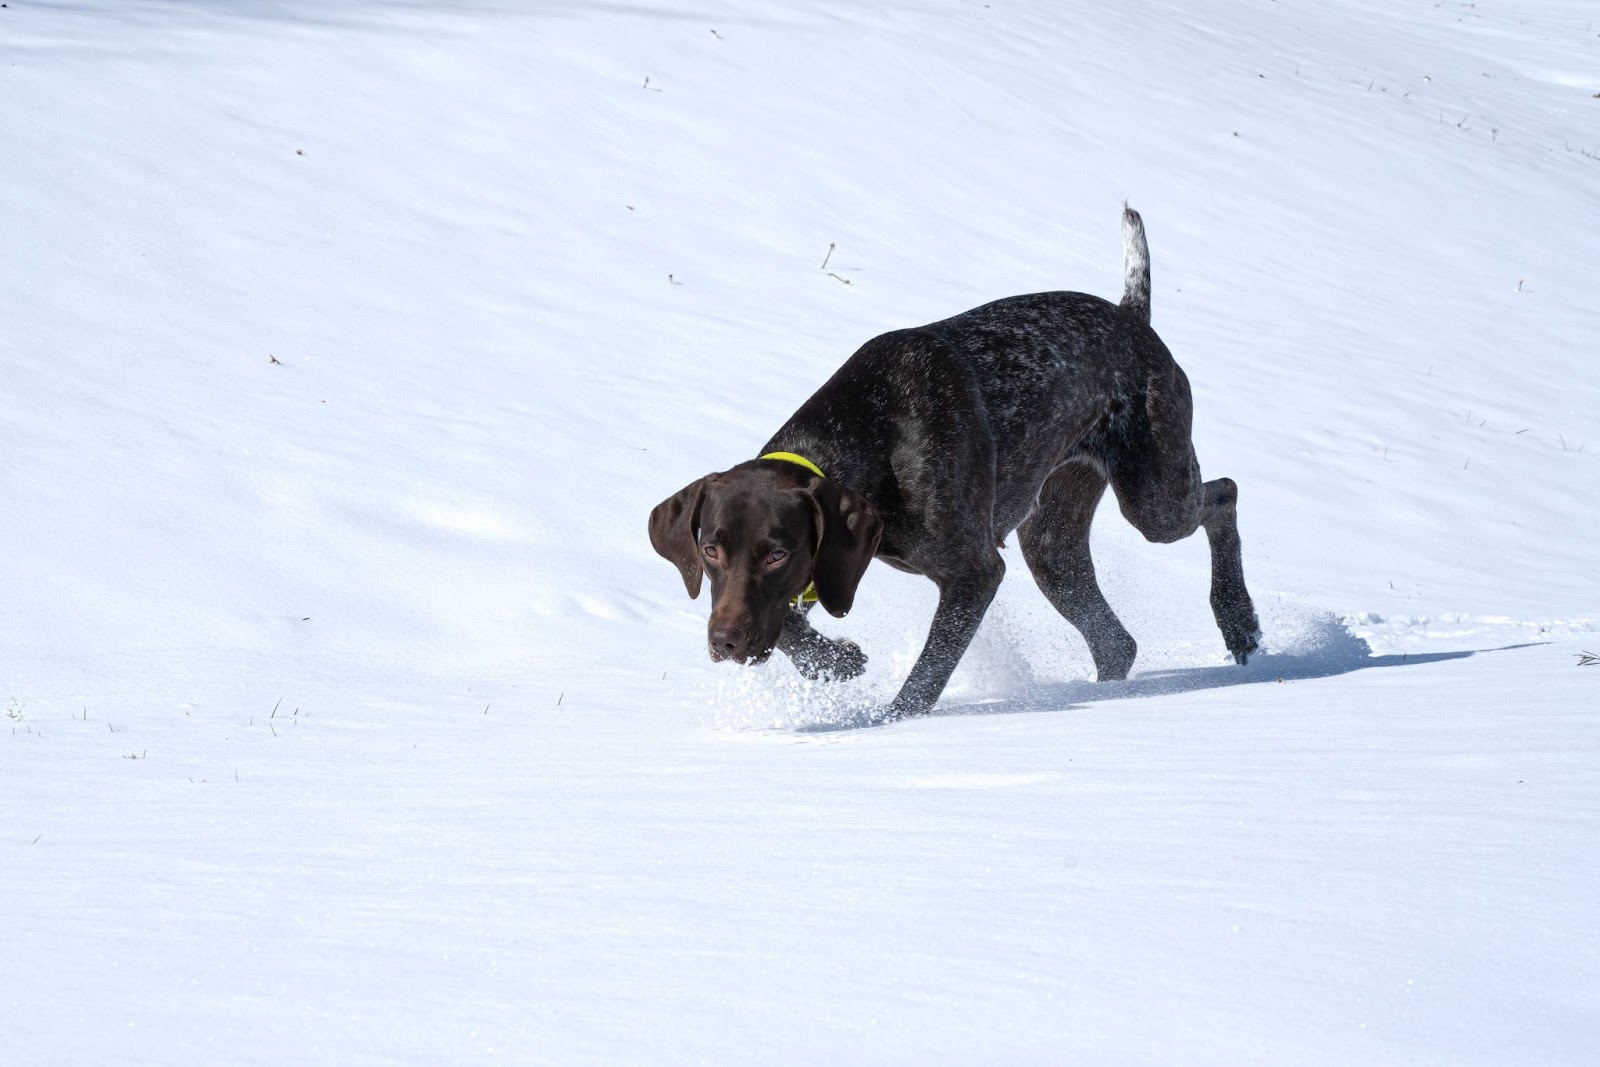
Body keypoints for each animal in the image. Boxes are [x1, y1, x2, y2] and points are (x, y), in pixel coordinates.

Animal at [649, 207, 1260, 716]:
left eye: (777, 553)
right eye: (709, 551)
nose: (724, 644)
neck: (872, 442)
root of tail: (1134, 318)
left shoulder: (973, 574)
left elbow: (925, 677)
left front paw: (890, 721)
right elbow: (793, 625)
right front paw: (839, 661)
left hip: (1153, 497)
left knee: (1223, 492)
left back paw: (1239, 621)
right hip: (1053, 545)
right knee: (1117, 643)